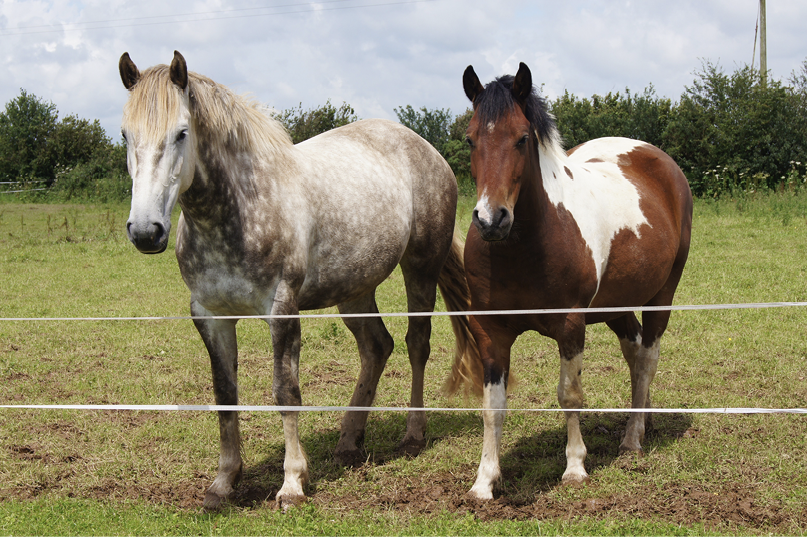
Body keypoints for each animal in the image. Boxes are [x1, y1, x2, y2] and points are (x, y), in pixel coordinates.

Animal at [118, 51, 478, 510]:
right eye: (126, 135)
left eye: (182, 133)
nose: (147, 231)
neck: (238, 210)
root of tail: (427, 150)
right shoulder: (210, 316)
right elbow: (224, 395)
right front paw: (223, 482)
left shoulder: (282, 309)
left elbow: (285, 392)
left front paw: (292, 483)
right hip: (355, 288)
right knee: (377, 347)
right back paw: (348, 441)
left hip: (420, 267)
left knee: (417, 344)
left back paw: (413, 436)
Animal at [447, 63, 693, 500]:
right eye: (470, 139)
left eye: (522, 138)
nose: (492, 220)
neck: (525, 244)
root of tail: (657, 159)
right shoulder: (490, 331)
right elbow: (493, 406)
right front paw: (484, 480)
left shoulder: (570, 325)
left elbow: (570, 394)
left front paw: (575, 467)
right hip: (615, 305)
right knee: (634, 351)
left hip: (662, 295)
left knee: (648, 357)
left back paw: (633, 437)